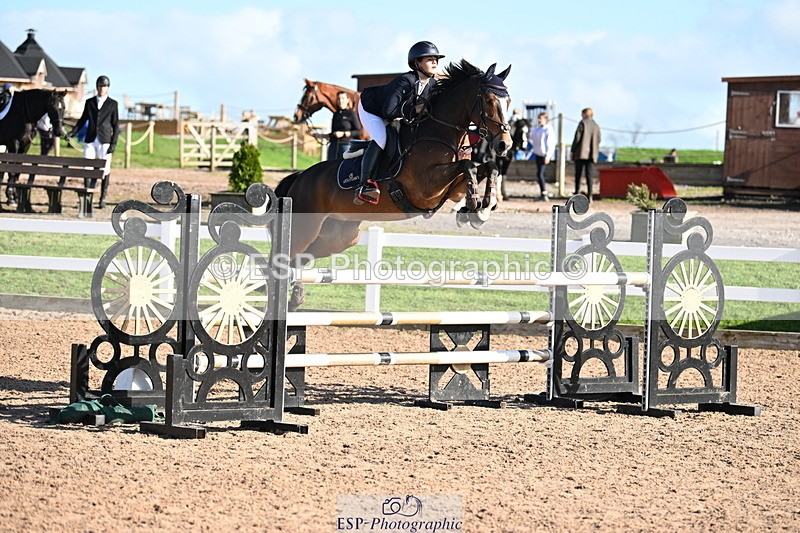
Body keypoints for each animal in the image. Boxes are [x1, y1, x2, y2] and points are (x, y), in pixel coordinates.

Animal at [275, 60, 513, 310]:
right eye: (488, 100)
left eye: (508, 101)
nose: (505, 145)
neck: (439, 133)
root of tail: (300, 177)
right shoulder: (426, 187)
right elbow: (469, 166)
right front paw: (475, 205)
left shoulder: (450, 189)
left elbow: (487, 167)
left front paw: (480, 209)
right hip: (305, 228)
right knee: (283, 261)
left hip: (338, 236)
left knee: (299, 260)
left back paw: (295, 297)